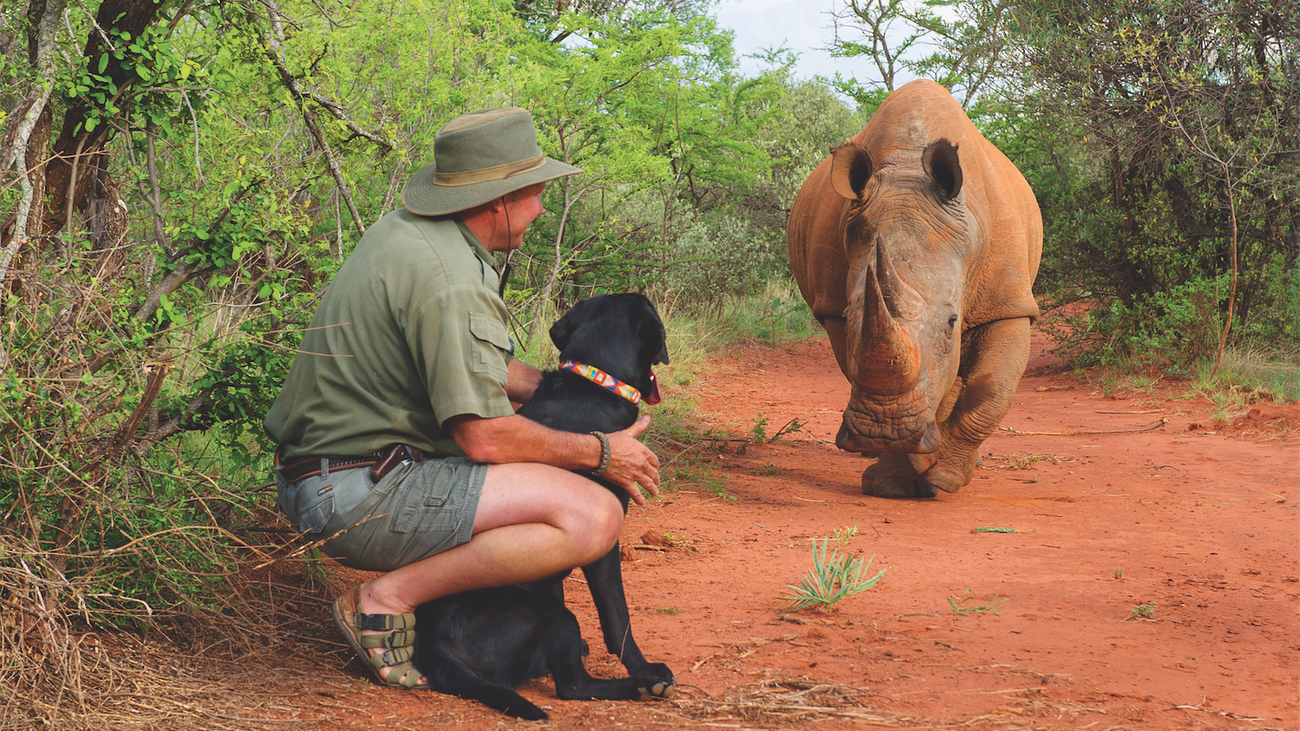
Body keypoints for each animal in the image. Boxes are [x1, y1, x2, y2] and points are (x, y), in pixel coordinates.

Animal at [413, 291, 681, 717]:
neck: (593, 385)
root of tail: (433, 646)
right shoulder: (604, 546)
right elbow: (618, 618)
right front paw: (646, 667)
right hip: (555, 616)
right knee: (573, 686)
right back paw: (640, 685)